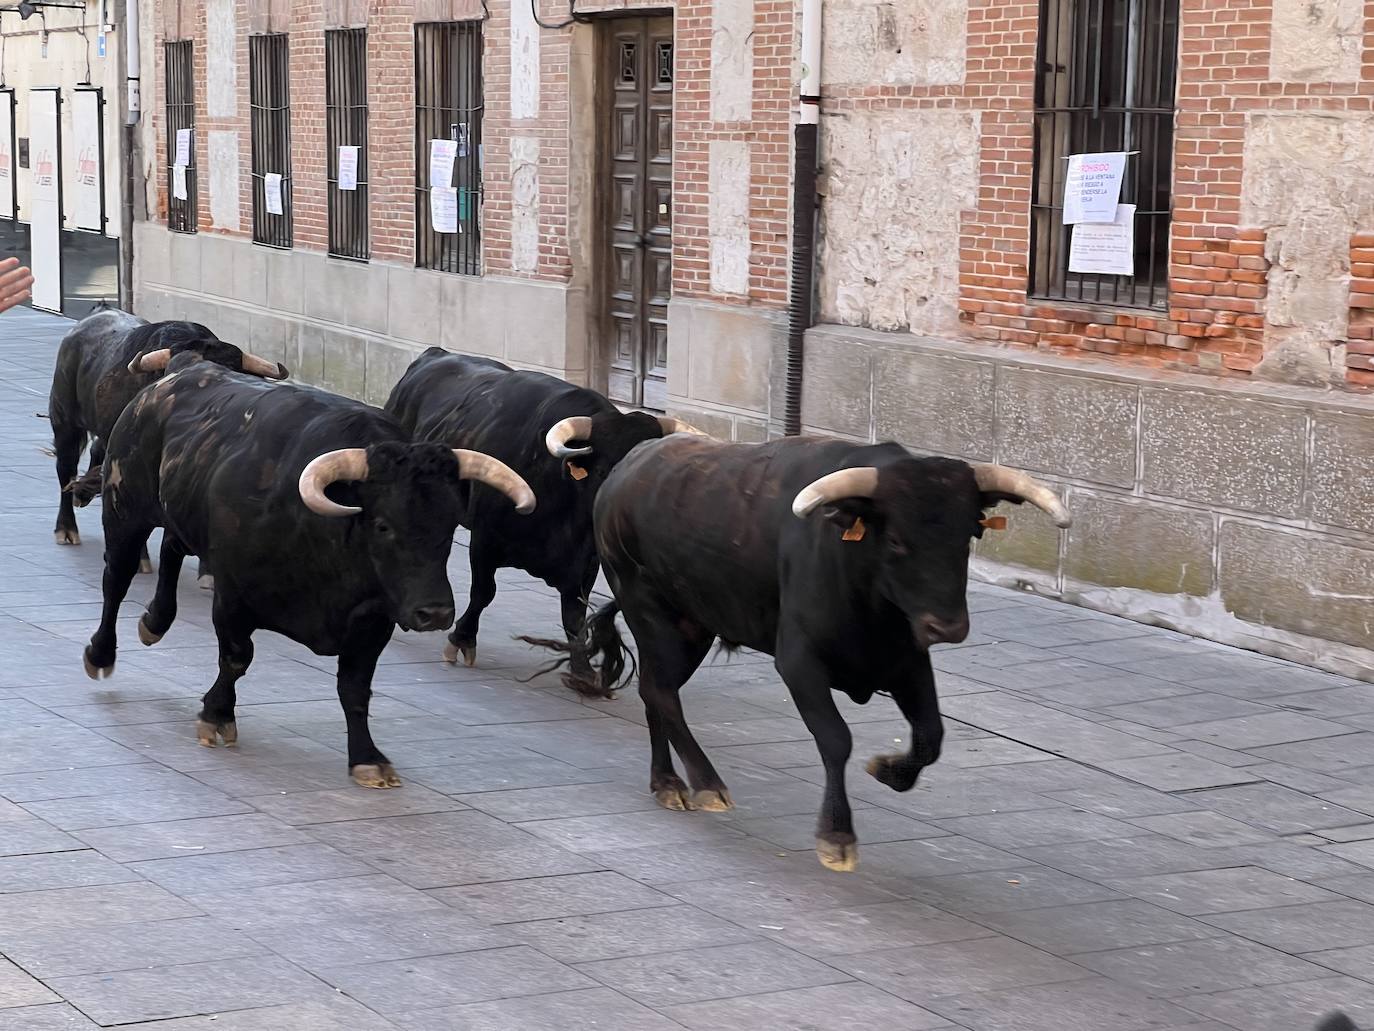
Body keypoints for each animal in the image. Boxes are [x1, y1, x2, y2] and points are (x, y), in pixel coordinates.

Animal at [80, 357, 530, 791]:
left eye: (451, 524)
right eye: (383, 525)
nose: (434, 613)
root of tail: (175, 374)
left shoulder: (373, 619)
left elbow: (355, 687)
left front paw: (368, 758)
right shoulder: (233, 596)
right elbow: (236, 657)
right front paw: (217, 715)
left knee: (172, 546)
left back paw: (155, 621)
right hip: (125, 509)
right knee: (116, 579)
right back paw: (101, 653)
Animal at [387, 347, 703, 695]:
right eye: (606, 468)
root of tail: (434, 354)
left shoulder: (586, 561)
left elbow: (574, 615)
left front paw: (582, 670)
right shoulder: (484, 541)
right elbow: (483, 591)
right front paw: (461, 639)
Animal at [568, 434, 1071, 874]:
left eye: (968, 535)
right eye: (896, 540)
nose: (946, 627)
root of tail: (629, 467)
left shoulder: (907, 662)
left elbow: (931, 734)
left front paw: (890, 771)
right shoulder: (799, 663)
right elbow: (835, 738)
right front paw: (837, 836)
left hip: (693, 627)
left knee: (657, 691)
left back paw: (667, 783)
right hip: (652, 614)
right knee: (662, 692)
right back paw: (706, 784)